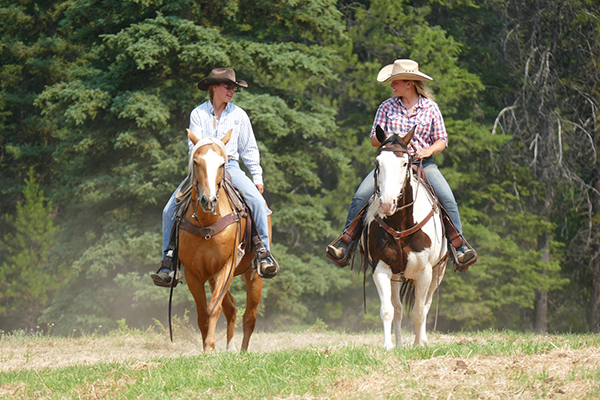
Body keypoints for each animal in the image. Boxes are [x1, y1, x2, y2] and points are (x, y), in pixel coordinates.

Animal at [177, 129, 268, 354]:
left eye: (221, 164)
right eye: (196, 162)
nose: (208, 200)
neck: (207, 223)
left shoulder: (226, 266)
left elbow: (213, 308)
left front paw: (210, 347)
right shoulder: (194, 273)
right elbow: (203, 313)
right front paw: (206, 349)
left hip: (254, 276)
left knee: (249, 316)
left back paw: (242, 351)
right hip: (211, 276)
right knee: (232, 308)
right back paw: (230, 348)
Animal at [364, 126, 448, 348]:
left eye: (404, 163)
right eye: (378, 163)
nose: (386, 203)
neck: (400, 225)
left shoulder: (425, 272)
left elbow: (419, 312)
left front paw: (419, 345)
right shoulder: (381, 268)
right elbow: (388, 310)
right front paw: (388, 346)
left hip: (438, 272)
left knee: (426, 305)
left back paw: (423, 340)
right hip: (397, 276)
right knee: (399, 309)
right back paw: (400, 344)